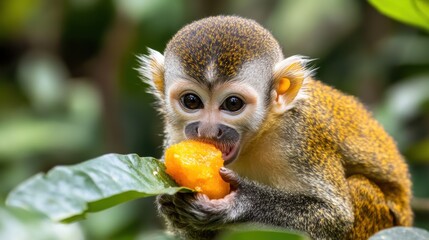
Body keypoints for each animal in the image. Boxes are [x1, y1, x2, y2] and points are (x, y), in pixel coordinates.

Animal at [138, 15, 412, 239]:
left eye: (233, 104)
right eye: (191, 101)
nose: (208, 131)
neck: (257, 136)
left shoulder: (301, 137)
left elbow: (334, 215)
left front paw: (242, 200)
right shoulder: (175, 136)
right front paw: (174, 209)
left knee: (361, 187)